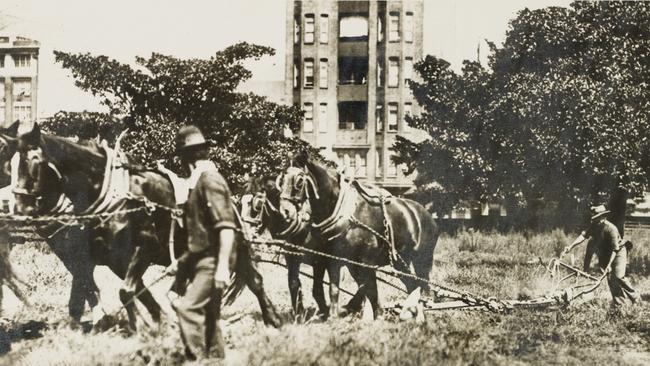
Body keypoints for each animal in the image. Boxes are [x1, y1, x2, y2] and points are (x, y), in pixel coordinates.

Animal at [13, 123, 280, 332]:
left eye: (34, 162)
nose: (19, 206)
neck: (113, 193)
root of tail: (232, 202)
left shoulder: (145, 247)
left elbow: (123, 290)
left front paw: (142, 326)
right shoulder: (111, 259)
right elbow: (124, 291)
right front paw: (156, 323)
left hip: (235, 248)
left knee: (255, 281)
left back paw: (273, 319)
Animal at [276, 152, 438, 318]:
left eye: (299, 181)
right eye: (281, 180)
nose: (285, 211)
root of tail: (427, 215)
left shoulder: (365, 261)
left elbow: (370, 289)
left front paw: (372, 314)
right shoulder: (333, 258)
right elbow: (334, 289)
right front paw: (334, 315)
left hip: (421, 260)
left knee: (420, 284)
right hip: (400, 261)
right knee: (412, 284)